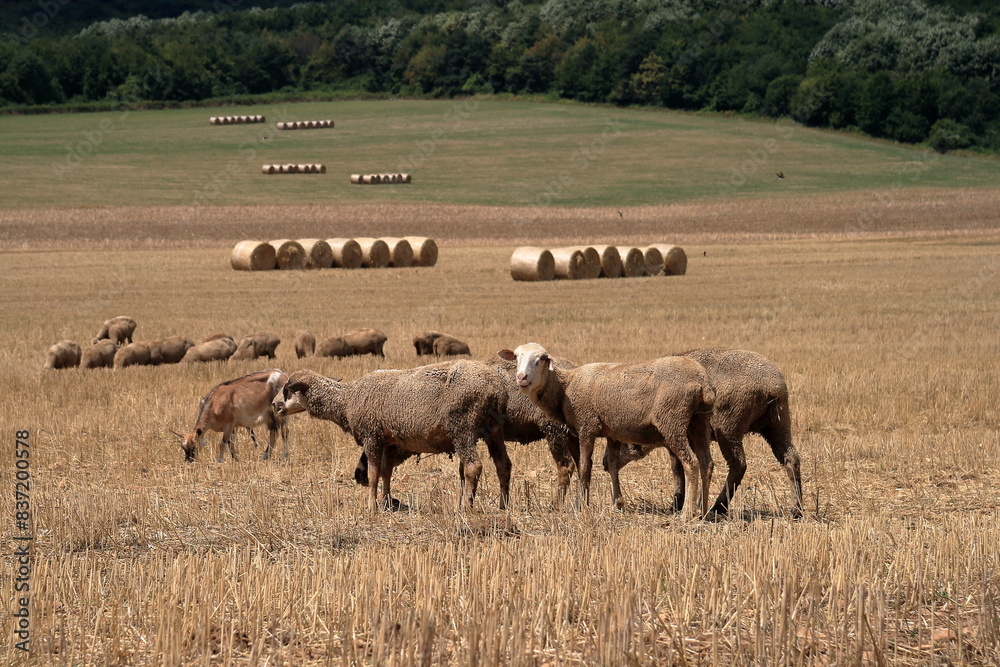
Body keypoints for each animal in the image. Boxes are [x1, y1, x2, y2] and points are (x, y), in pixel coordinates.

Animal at [272, 362, 511, 511]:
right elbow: (386, 472)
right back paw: (504, 505)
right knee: (503, 464)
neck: (347, 399)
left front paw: (371, 507)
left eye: (288, 390)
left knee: (473, 467)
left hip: (463, 428)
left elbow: (373, 474)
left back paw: (465, 507)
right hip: (494, 429)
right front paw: (386, 502)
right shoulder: (389, 442)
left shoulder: (372, 436)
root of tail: (495, 386)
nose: (274, 405)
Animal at [499, 343, 715, 517]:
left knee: (691, 463)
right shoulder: (611, 432)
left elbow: (584, 467)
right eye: (516, 356)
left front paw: (582, 506)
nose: (521, 378)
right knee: (707, 463)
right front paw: (617, 503)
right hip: (700, 421)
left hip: (672, 420)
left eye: (542, 359)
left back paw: (687, 513)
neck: (565, 386)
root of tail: (702, 382)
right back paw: (703, 510)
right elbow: (611, 464)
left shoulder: (587, 425)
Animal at [606, 348, 803, 518]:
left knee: (738, 464)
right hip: (778, 424)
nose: (605, 464)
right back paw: (796, 510)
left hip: (729, 427)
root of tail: (772, 386)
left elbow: (677, 468)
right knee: (791, 458)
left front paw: (677, 504)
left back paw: (717, 506)